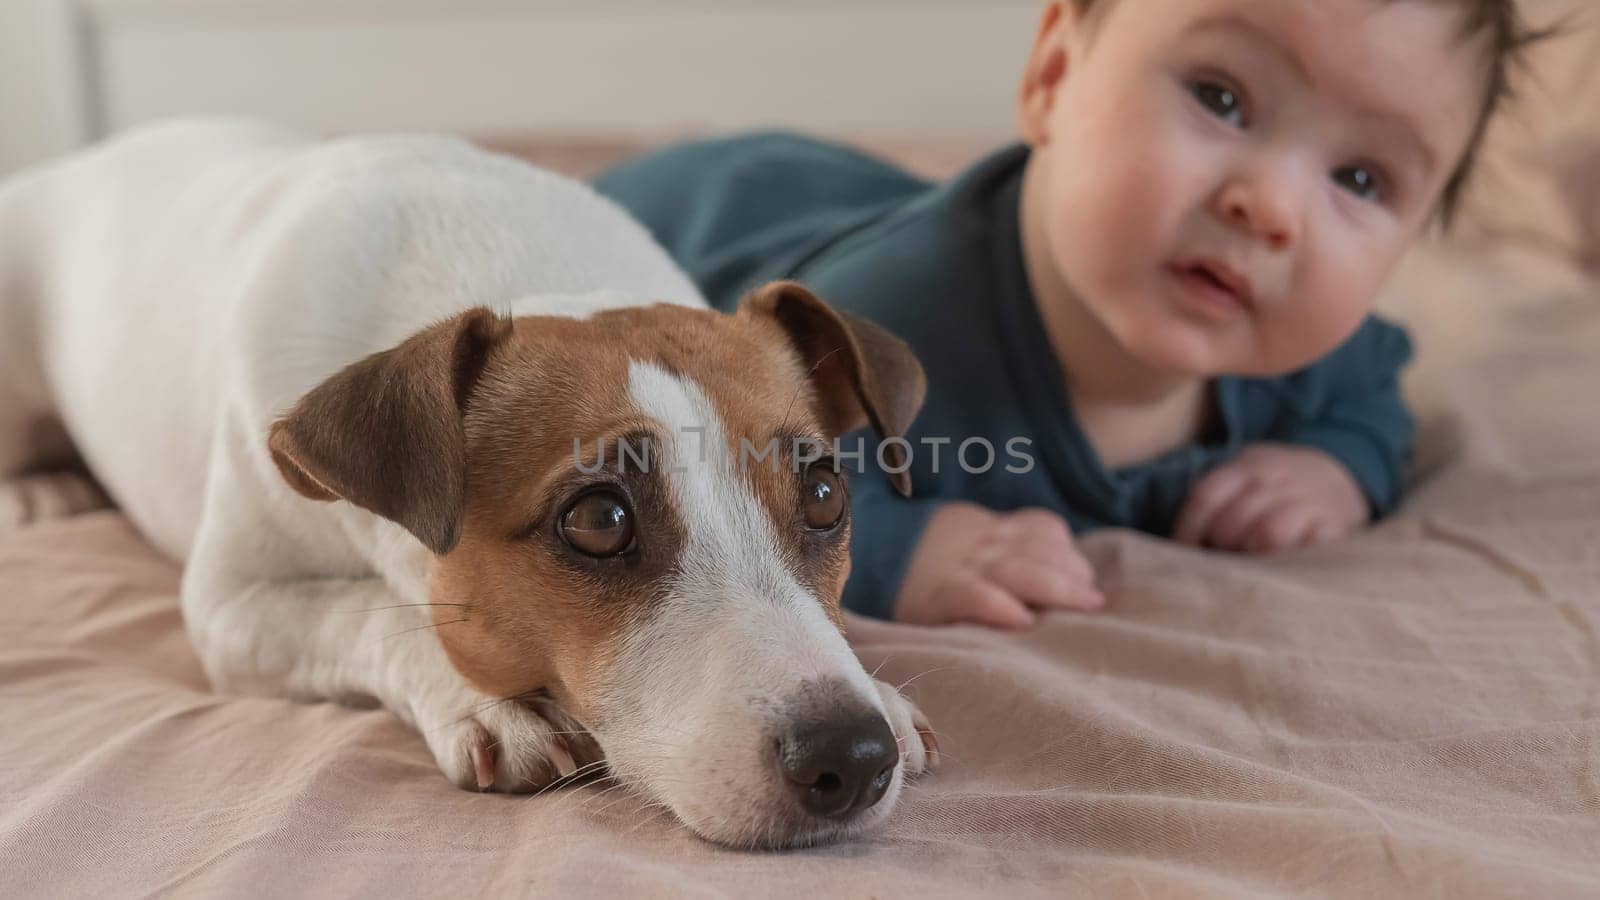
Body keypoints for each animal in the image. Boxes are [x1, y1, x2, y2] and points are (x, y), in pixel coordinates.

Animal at [0, 119, 934, 845]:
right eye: (600, 520)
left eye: (824, 496)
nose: (852, 756)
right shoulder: (234, 608)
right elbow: (366, 615)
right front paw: (486, 702)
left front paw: (882, 693)